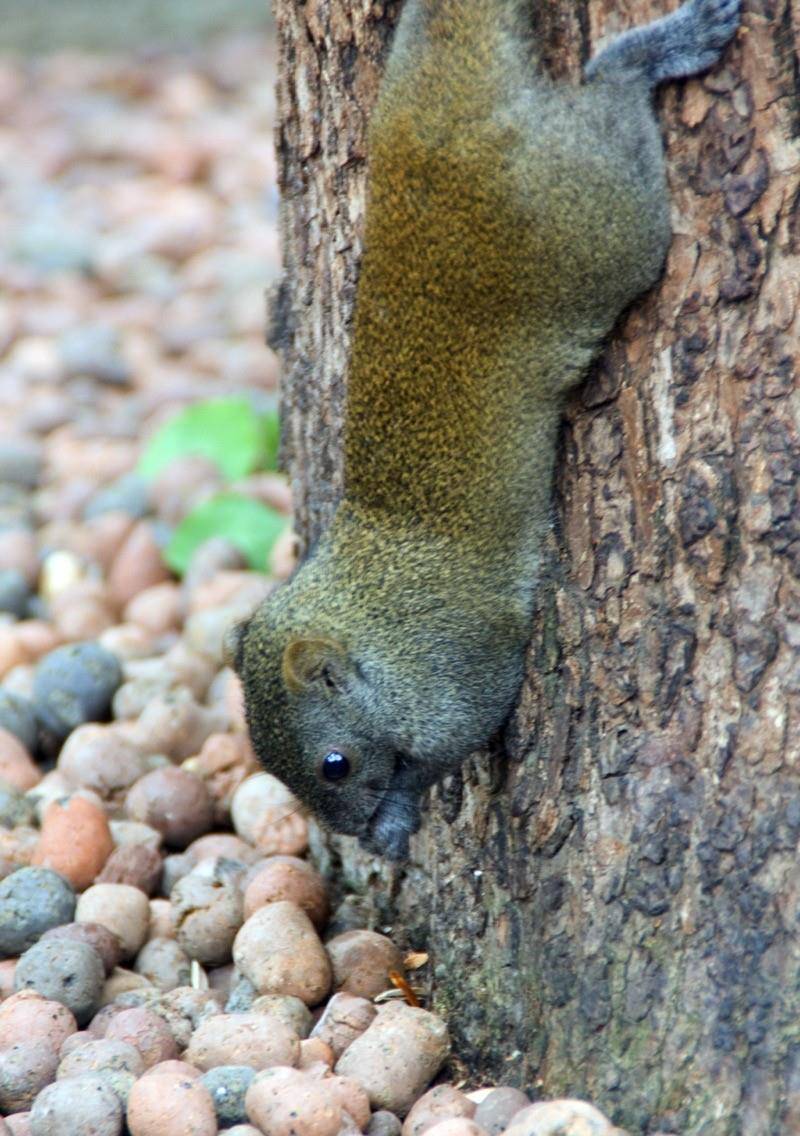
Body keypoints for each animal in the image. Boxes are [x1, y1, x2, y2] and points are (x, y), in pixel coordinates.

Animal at [229, 0, 736, 858]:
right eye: (270, 766)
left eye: (333, 764)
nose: (353, 834)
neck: (368, 608)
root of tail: (454, 109)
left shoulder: (456, 669)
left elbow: (462, 735)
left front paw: (398, 817)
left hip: (597, 213)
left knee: (611, 98)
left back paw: (654, 51)